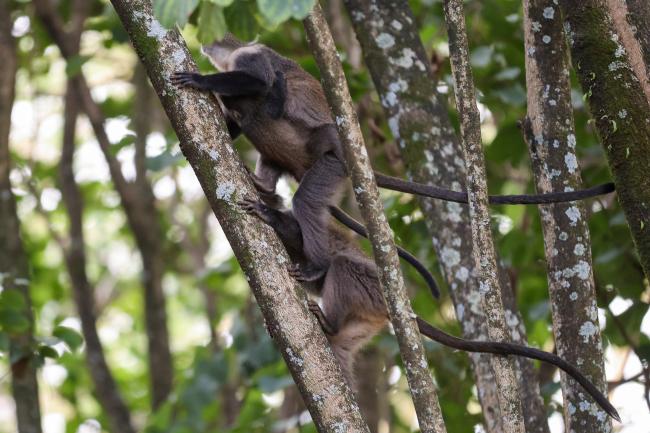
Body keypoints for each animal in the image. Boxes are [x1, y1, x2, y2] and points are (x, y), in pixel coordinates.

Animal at [237, 196, 621, 422]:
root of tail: (393, 304)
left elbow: (304, 243)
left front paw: (270, 215)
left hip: (371, 291)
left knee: (344, 266)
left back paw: (328, 321)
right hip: (367, 319)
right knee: (339, 345)